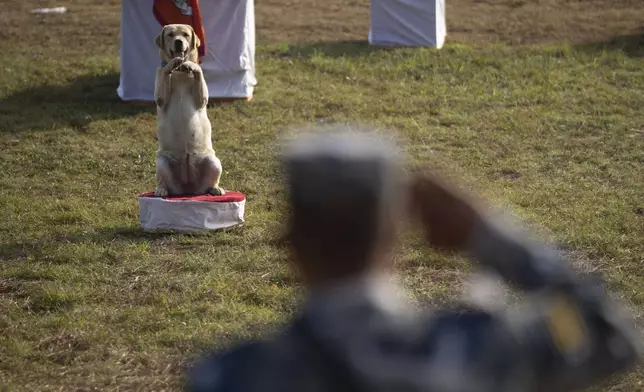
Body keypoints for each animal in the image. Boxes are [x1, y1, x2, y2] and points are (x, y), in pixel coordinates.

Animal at [153, 23, 224, 198]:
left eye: (185, 34)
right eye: (170, 35)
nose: (178, 42)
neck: (179, 72)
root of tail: (188, 189)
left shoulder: (202, 99)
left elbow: (197, 71)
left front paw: (191, 65)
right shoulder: (161, 97)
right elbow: (166, 71)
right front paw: (172, 63)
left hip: (213, 162)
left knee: (210, 182)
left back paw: (215, 189)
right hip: (162, 162)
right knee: (163, 181)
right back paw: (161, 190)